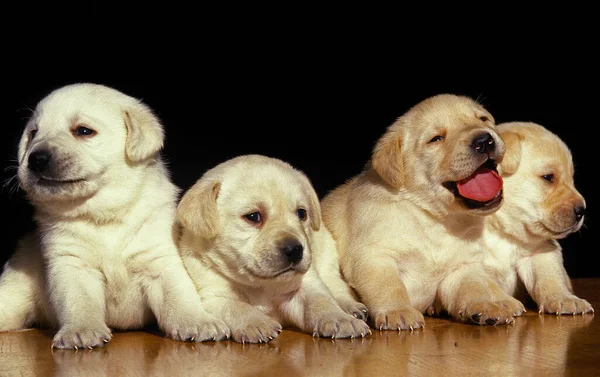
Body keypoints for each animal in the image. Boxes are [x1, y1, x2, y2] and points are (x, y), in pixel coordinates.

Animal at [0, 83, 230, 348]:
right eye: (33, 133)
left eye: (83, 131)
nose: (36, 158)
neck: (104, 215)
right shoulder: (71, 264)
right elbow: (79, 301)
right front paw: (81, 330)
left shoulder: (159, 259)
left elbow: (178, 295)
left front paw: (196, 321)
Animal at [176, 154, 370, 342]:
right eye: (253, 216)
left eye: (301, 213)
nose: (295, 250)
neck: (261, 285)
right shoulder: (213, 297)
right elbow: (237, 307)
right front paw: (256, 323)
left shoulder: (306, 285)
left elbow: (320, 301)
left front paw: (339, 319)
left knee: (334, 284)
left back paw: (350, 307)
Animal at [318, 94, 524, 328]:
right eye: (436, 139)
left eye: (483, 119)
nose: (484, 140)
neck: (435, 219)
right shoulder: (373, 256)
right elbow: (388, 286)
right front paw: (398, 311)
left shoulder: (461, 267)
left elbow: (473, 287)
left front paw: (484, 305)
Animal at [482, 122, 592, 314]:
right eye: (548, 178)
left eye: (571, 179)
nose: (582, 210)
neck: (503, 232)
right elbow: (486, 286)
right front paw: (499, 304)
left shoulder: (541, 252)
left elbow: (549, 279)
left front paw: (565, 299)